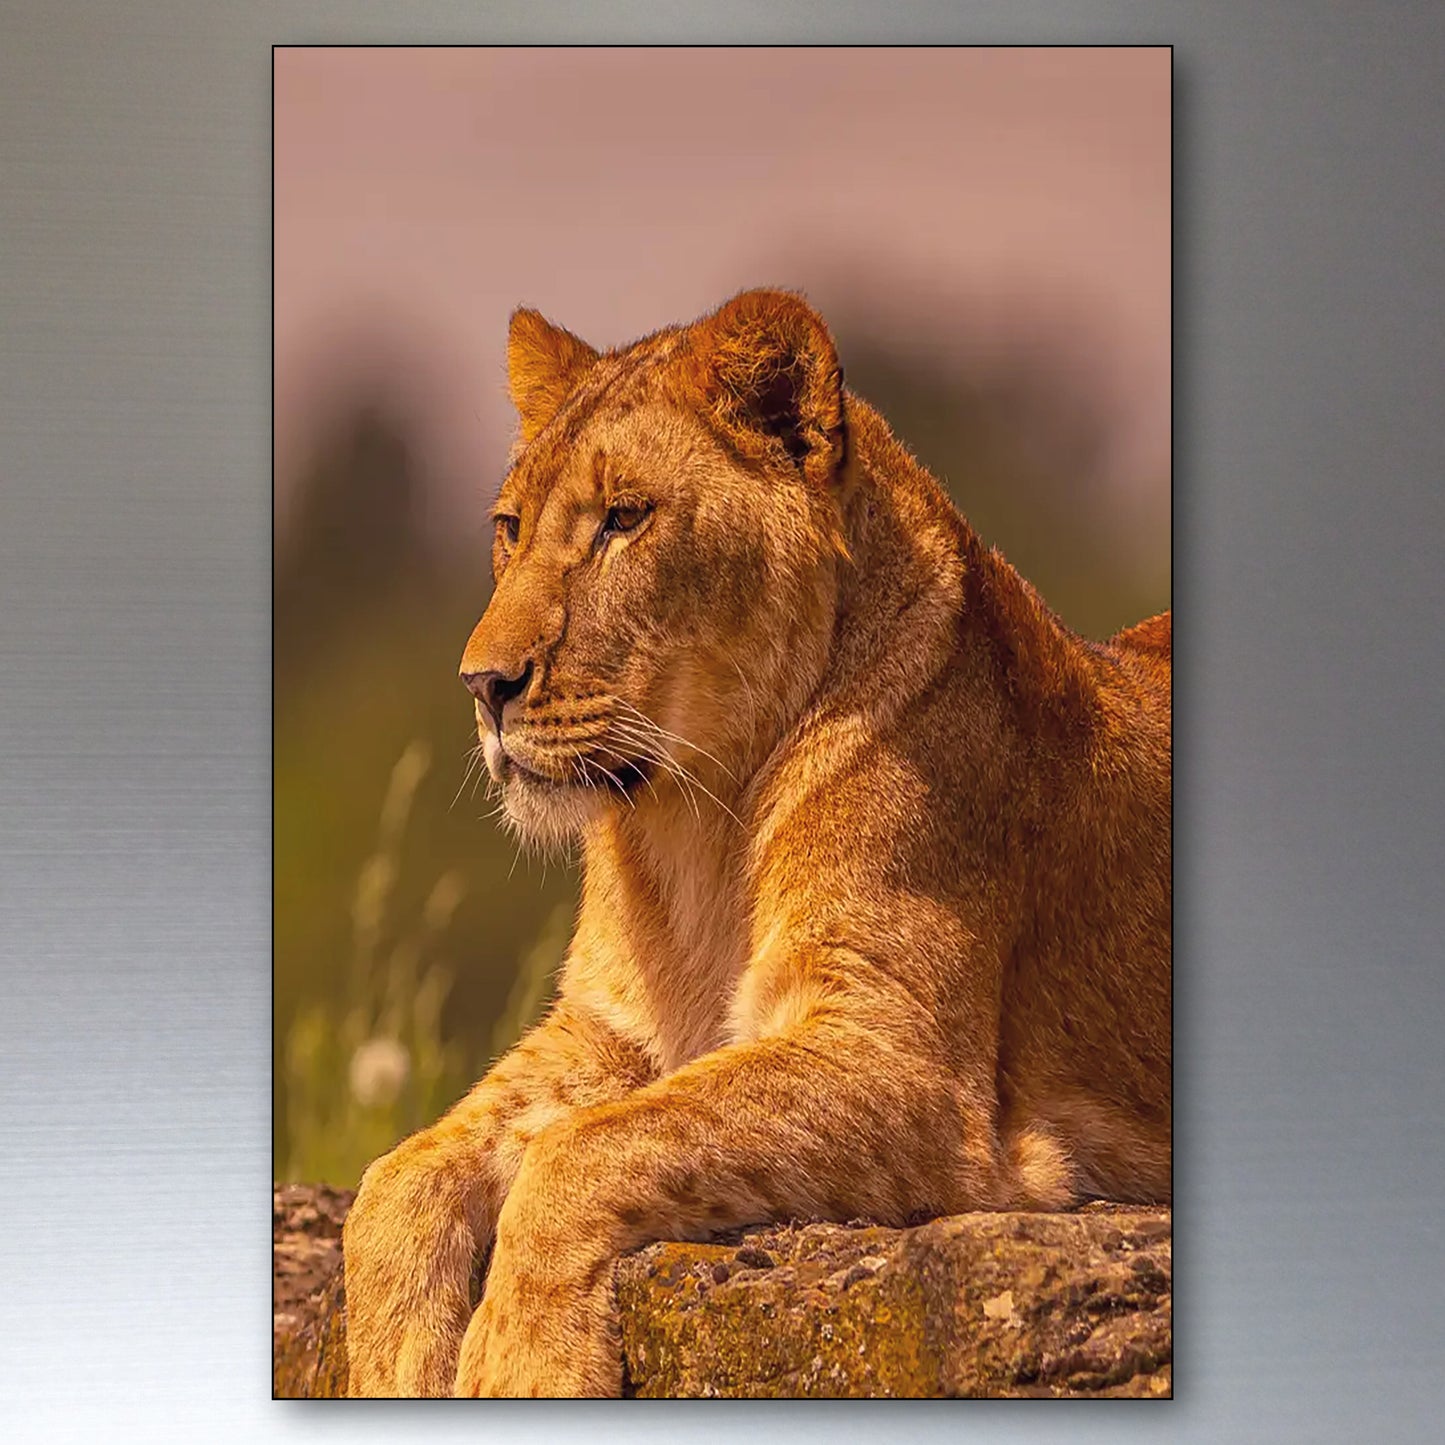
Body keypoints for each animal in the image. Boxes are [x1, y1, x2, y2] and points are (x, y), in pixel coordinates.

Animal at [341, 288, 1171, 1398]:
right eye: (508, 529)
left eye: (623, 519)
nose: (483, 684)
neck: (695, 822)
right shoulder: (606, 1031)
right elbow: (398, 1174)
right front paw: (395, 1367)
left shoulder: (901, 1061)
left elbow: (582, 1151)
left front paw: (519, 1365)